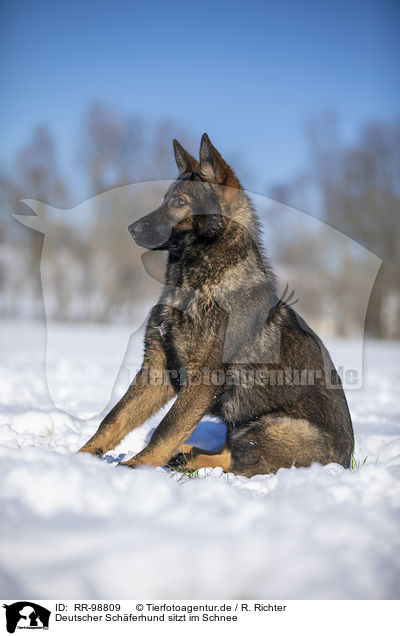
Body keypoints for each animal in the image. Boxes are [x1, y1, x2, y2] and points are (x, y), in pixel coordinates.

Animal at [80, 132, 354, 474]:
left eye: (179, 202)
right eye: (165, 199)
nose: (131, 229)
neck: (195, 286)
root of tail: (347, 461)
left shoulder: (202, 379)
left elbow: (166, 428)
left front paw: (136, 468)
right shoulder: (157, 367)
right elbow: (115, 417)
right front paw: (80, 456)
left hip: (269, 428)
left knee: (236, 461)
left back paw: (182, 459)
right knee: (225, 452)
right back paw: (182, 455)